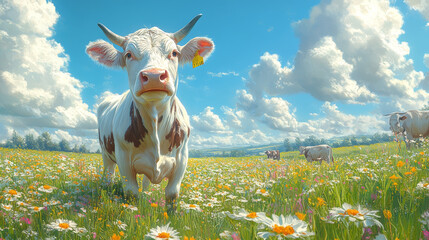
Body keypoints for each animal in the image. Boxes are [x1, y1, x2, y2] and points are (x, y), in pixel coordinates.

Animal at [86, 14, 214, 212]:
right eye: (128, 55)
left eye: (174, 53)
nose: (154, 76)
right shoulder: (123, 159)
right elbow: (131, 193)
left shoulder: (182, 158)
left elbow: (172, 194)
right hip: (106, 154)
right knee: (108, 175)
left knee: (146, 182)